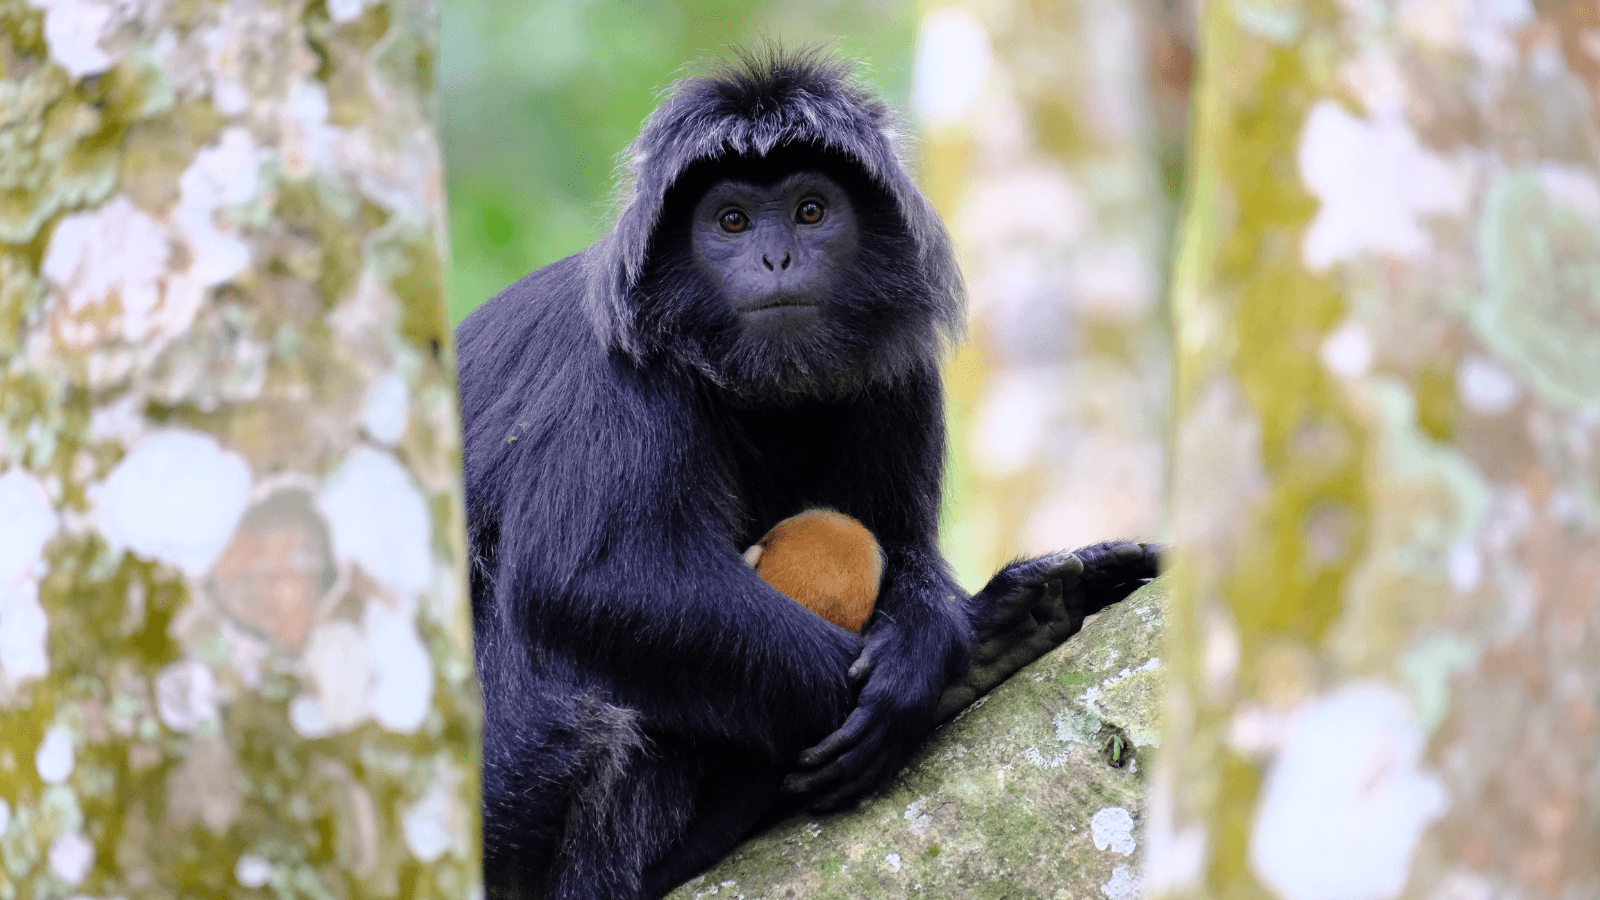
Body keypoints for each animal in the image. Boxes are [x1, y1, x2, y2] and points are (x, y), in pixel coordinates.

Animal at [455, 48, 1160, 900]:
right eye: (732, 222)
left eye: (811, 212)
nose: (777, 258)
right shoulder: (615, 367)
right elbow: (583, 583)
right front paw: (905, 686)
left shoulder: (897, 372)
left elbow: (903, 547)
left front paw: (928, 648)